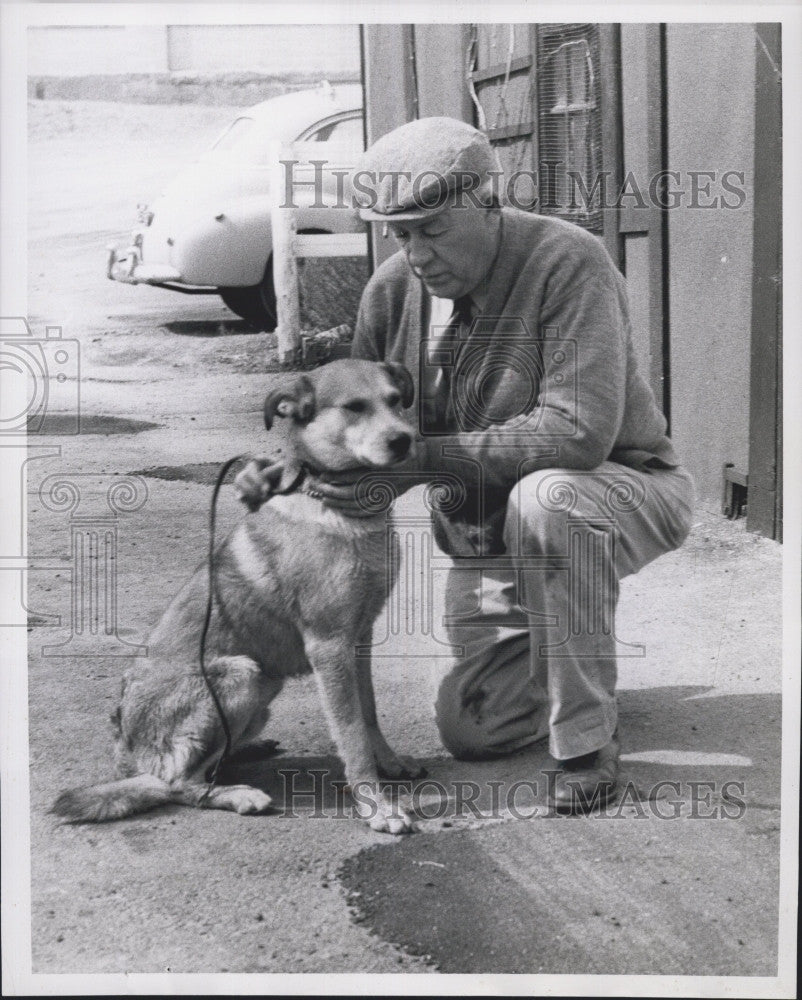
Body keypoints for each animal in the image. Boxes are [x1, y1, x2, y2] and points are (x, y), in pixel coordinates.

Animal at [52, 360, 422, 836]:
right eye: (354, 407)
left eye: (395, 400)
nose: (404, 440)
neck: (341, 512)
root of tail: (125, 753)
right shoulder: (330, 646)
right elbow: (351, 733)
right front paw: (376, 806)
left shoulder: (360, 639)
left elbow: (369, 712)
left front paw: (390, 762)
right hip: (240, 675)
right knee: (177, 784)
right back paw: (238, 794)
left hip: (263, 686)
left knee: (201, 763)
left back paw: (245, 751)